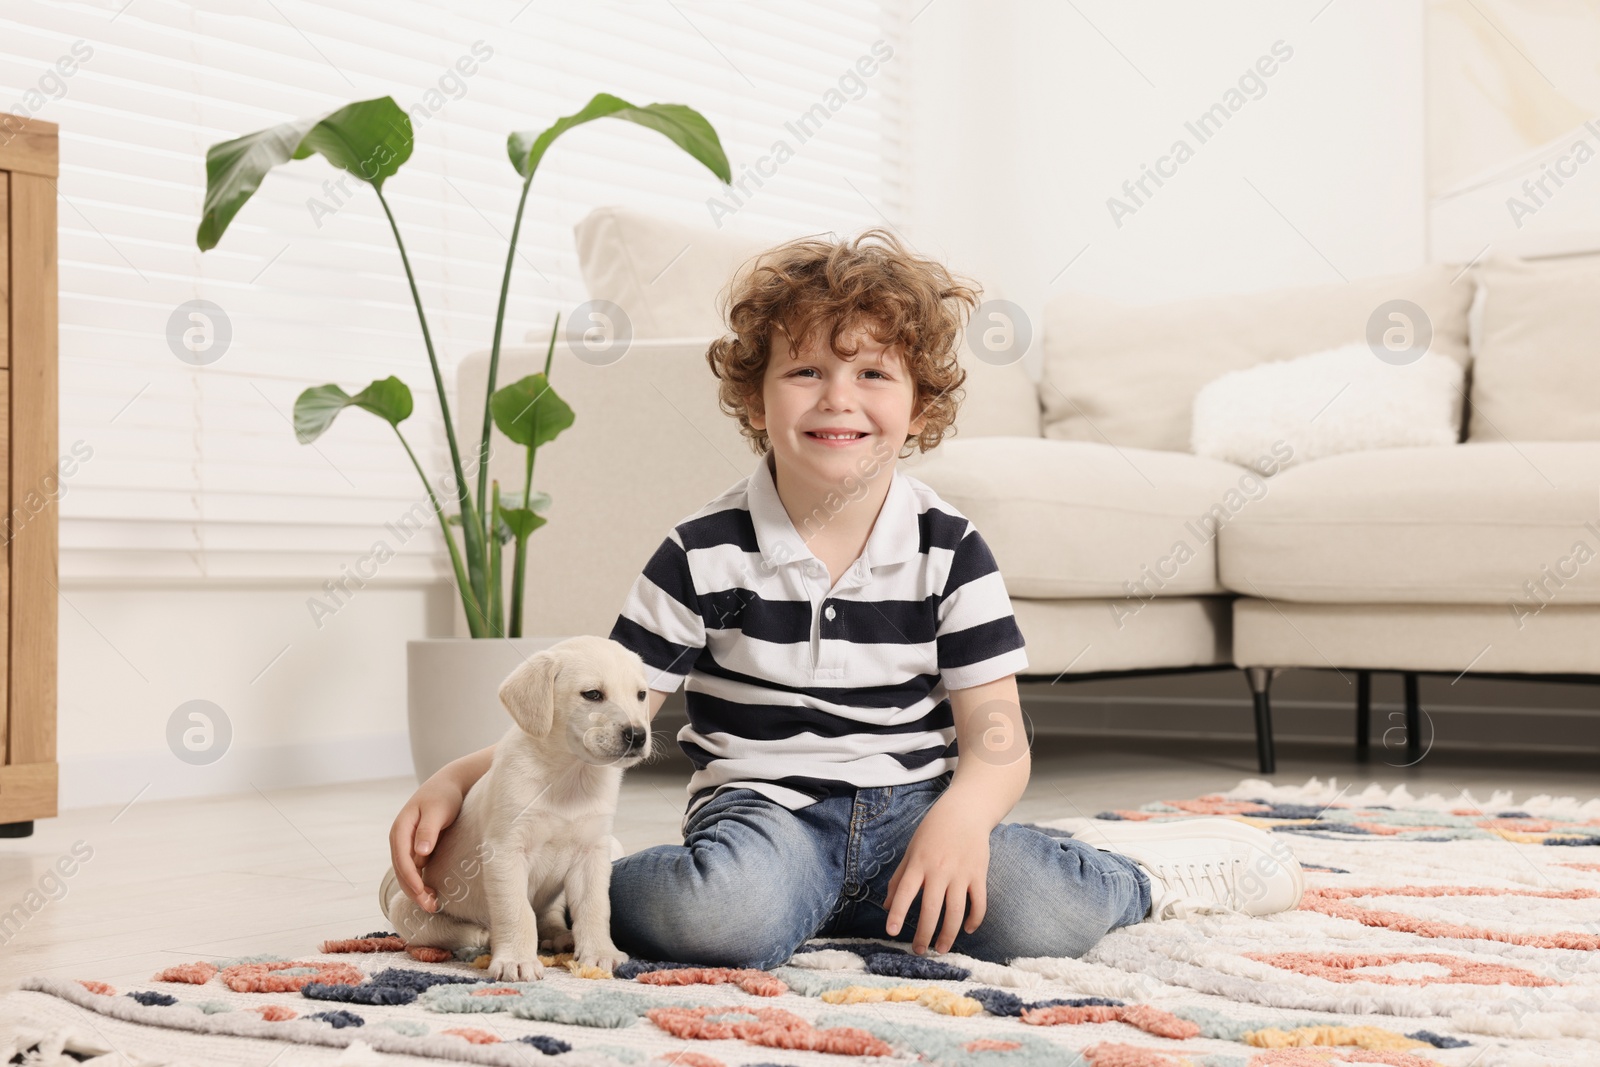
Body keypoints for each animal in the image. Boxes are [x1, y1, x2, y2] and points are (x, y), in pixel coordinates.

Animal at [384, 633, 652, 985]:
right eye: (593, 694)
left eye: (641, 695)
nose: (638, 735)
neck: (570, 776)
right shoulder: (505, 851)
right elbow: (516, 911)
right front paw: (517, 960)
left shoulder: (592, 855)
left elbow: (595, 907)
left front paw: (599, 953)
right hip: (408, 906)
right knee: (454, 932)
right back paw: (483, 936)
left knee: (548, 916)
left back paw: (560, 936)